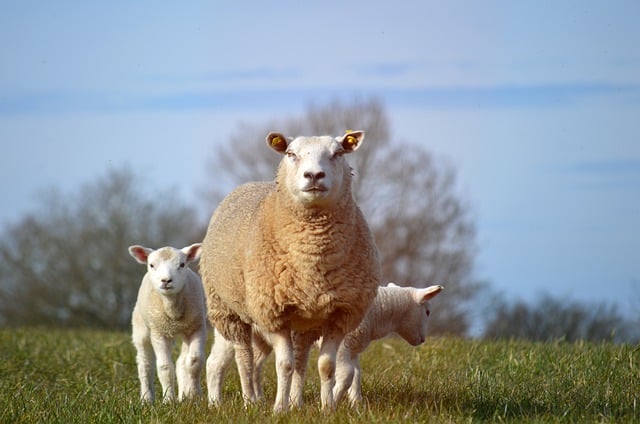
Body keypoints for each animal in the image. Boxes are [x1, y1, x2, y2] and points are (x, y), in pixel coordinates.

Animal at [128, 243, 207, 403]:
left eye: (182, 264)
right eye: (152, 265)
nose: (166, 280)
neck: (173, 312)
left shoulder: (197, 327)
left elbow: (194, 362)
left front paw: (194, 396)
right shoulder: (159, 333)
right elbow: (165, 367)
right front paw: (169, 400)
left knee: (181, 362)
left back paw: (183, 396)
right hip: (141, 328)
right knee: (145, 364)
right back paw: (146, 399)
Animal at [201, 130, 381, 412]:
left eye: (338, 153)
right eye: (290, 153)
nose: (314, 175)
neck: (312, 259)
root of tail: (248, 185)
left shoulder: (340, 314)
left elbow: (325, 366)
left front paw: (327, 408)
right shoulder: (274, 313)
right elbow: (283, 365)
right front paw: (278, 409)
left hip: (306, 320)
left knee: (301, 358)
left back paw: (296, 402)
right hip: (227, 309)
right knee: (244, 357)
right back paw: (250, 401)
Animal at [207, 283, 443, 407]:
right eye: (428, 311)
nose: (422, 340)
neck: (379, 311)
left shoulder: (354, 347)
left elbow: (356, 374)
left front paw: (355, 403)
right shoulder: (345, 345)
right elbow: (347, 374)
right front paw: (334, 399)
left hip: (261, 338)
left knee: (255, 365)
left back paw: (260, 401)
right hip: (229, 329)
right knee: (215, 364)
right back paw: (215, 403)